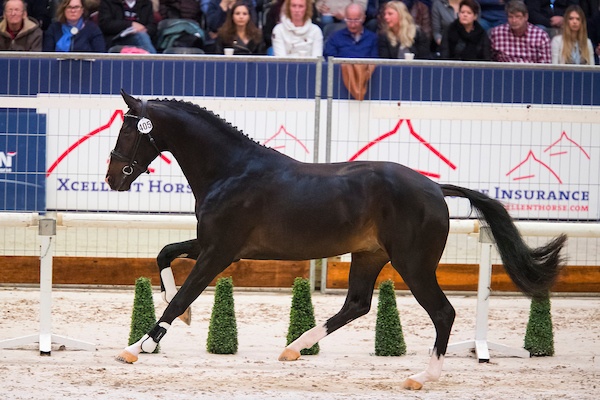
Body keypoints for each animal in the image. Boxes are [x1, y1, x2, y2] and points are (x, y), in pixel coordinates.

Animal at [105, 91, 564, 390]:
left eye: (129, 132)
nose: (112, 178)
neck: (232, 170)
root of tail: (435, 188)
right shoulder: (215, 246)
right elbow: (165, 257)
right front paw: (176, 318)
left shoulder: (220, 253)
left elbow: (183, 292)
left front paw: (137, 346)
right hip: (368, 255)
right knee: (357, 304)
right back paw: (294, 349)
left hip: (413, 264)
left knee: (442, 312)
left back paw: (421, 377)